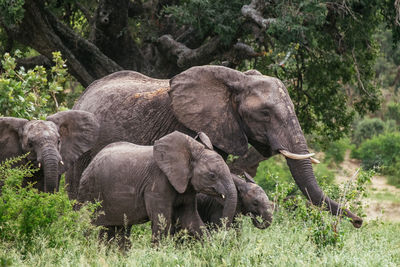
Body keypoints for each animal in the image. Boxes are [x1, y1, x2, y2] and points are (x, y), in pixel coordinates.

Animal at [76, 132, 236, 243]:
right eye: (212, 175)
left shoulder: (186, 186)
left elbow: (191, 219)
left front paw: (211, 248)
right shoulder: (157, 184)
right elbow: (162, 222)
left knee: (116, 229)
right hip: (89, 191)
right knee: (88, 225)